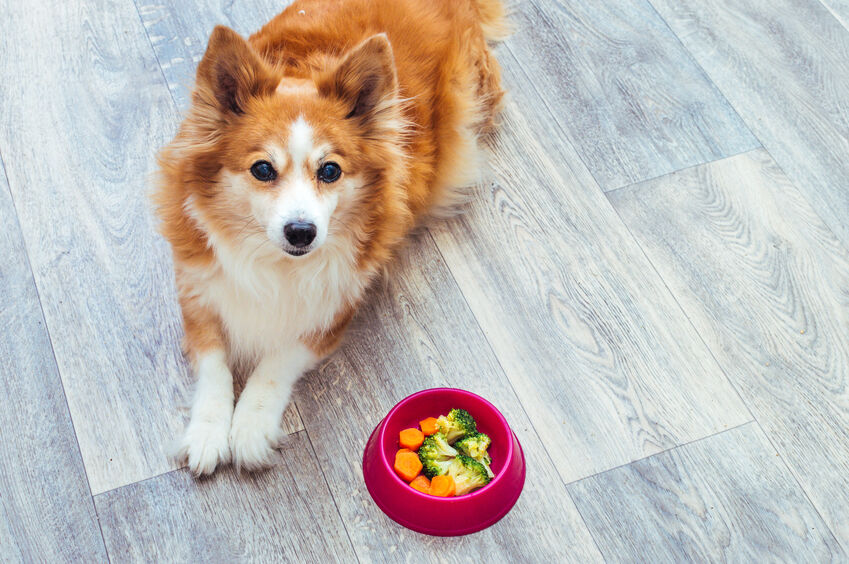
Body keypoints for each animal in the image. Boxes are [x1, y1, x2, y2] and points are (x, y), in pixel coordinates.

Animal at [152, 0, 506, 476]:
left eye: (330, 170)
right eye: (262, 169)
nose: (302, 232)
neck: (274, 261)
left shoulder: (335, 307)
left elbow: (277, 360)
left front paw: (250, 427)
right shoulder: (198, 289)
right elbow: (214, 363)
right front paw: (208, 431)